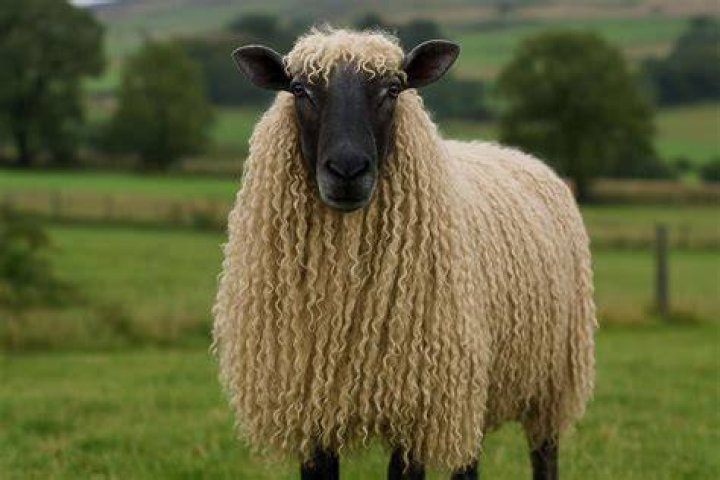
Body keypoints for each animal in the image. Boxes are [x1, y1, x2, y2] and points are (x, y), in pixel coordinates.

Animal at [213, 27, 596, 480]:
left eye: (393, 90)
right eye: (300, 90)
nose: (347, 170)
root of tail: (519, 155)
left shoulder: (417, 407)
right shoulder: (313, 407)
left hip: (547, 385)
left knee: (543, 455)